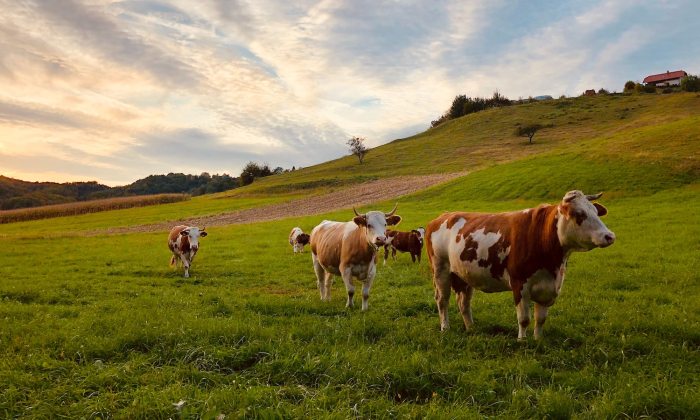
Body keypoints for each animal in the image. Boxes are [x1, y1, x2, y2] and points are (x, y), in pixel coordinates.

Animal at [424, 192, 616, 340]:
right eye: (579, 214)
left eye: (596, 212)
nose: (609, 236)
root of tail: (442, 216)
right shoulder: (519, 284)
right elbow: (524, 318)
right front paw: (522, 340)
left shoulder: (549, 288)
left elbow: (540, 319)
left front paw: (538, 340)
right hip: (440, 270)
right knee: (442, 300)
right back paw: (445, 327)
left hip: (463, 274)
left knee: (463, 302)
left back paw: (471, 328)